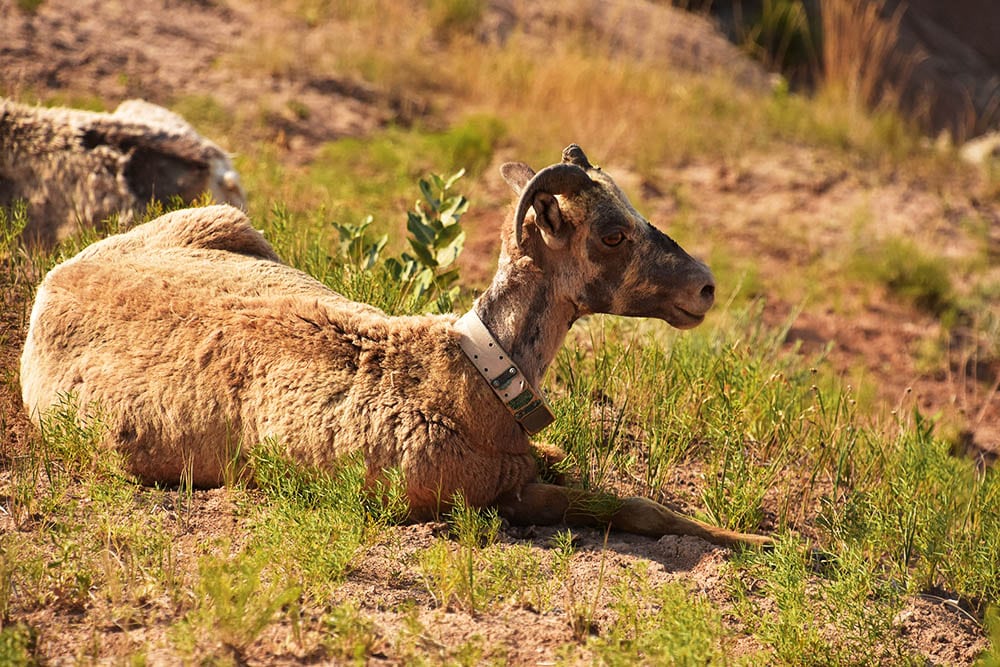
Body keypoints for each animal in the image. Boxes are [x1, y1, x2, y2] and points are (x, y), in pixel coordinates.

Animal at [21, 146, 772, 548]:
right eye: (612, 235)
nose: (704, 287)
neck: (473, 374)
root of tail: (56, 279)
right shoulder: (489, 500)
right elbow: (631, 508)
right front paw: (759, 541)